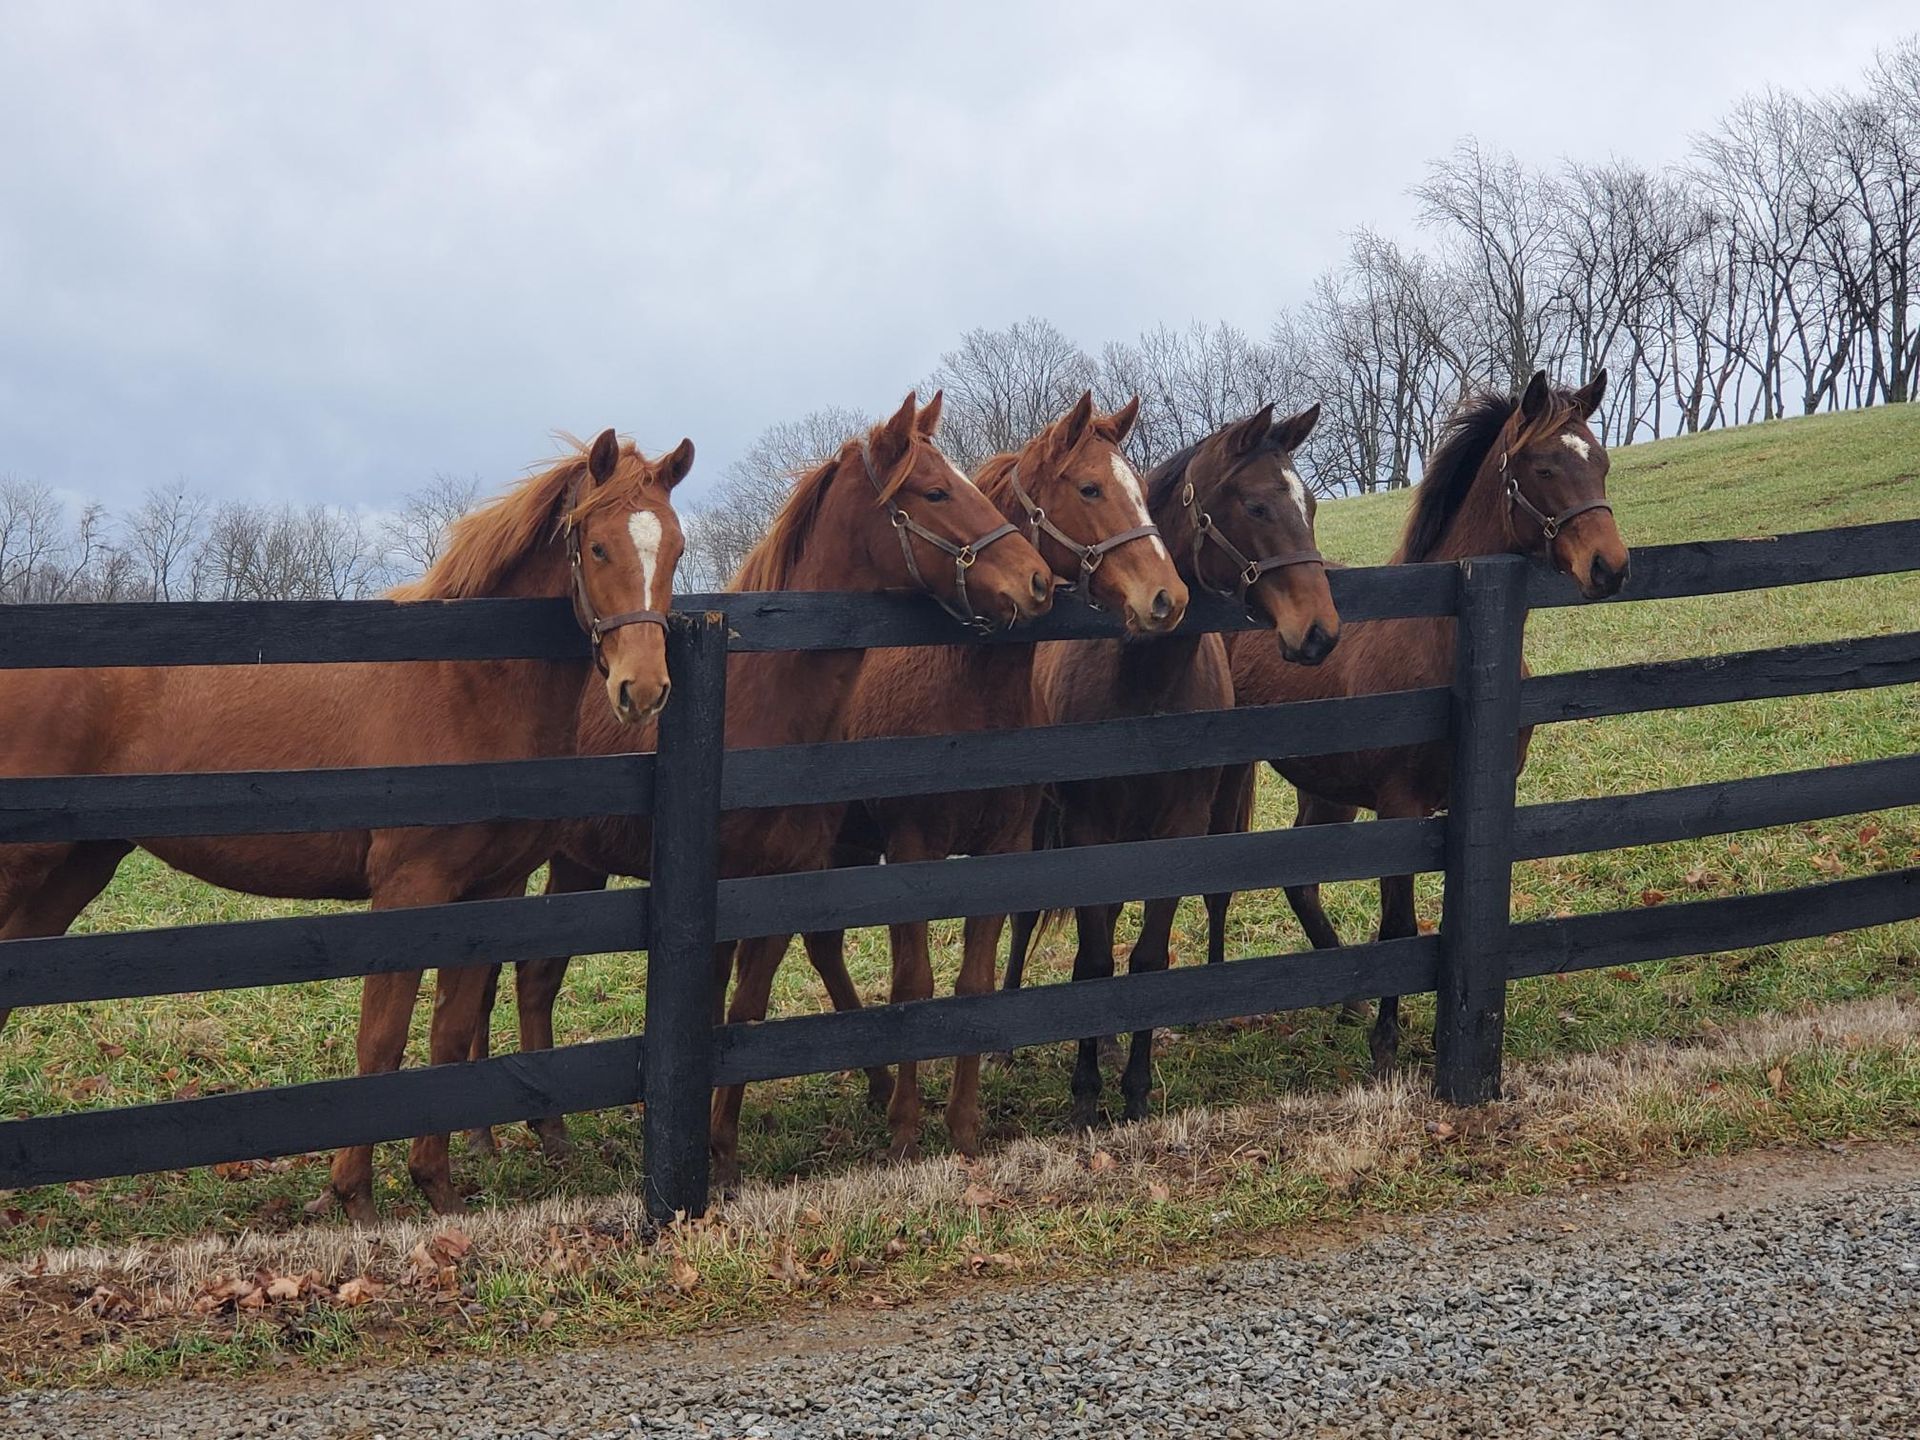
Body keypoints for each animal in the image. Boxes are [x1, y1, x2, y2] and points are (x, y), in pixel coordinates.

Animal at [0, 429, 694, 1223]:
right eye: (599, 546)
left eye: (675, 548)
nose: (643, 689)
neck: (464, 682)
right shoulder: (408, 892)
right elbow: (381, 1043)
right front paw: (352, 1196)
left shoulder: (490, 895)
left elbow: (448, 1036)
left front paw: (437, 1188)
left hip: (75, 867)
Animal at [479, 392, 1054, 1188]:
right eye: (936, 492)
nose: (1039, 581)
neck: (760, 706)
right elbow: (712, 1008)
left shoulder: (780, 885)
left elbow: (744, 1011)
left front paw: (722, 1149)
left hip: (578, 865)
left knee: (535, 978)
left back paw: (551, 1131)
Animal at [780, 390, 1190, 1164]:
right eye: (1090, 489)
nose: (1168, 596)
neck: (963, 693)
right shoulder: (913, 849)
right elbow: (914, 981)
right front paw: (908, 1128)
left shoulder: (1002, 848)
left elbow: (973, 979)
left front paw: (964, 1127)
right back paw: (882, 1087)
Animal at [1003, 401, 1341, 1129]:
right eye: (1256, 504)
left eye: (1310, 504)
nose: (1320, 632)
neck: (1143, 690)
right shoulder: (1088, 832)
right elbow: (1093, 958)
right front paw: (1085, 1092)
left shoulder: (1180, 829)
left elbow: (1148, 957)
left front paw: (1132, 1088)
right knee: (1023, 918)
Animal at [1216, 370, 1629, 1077]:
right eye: (1545, 466)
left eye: (1600, 463)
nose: (1610, 566)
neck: (1441, 634)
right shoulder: (1400, 807)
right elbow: (1400, 924)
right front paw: (1387, 1043)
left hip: (1325, 789)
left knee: (1302, 882)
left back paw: (1347, 997)